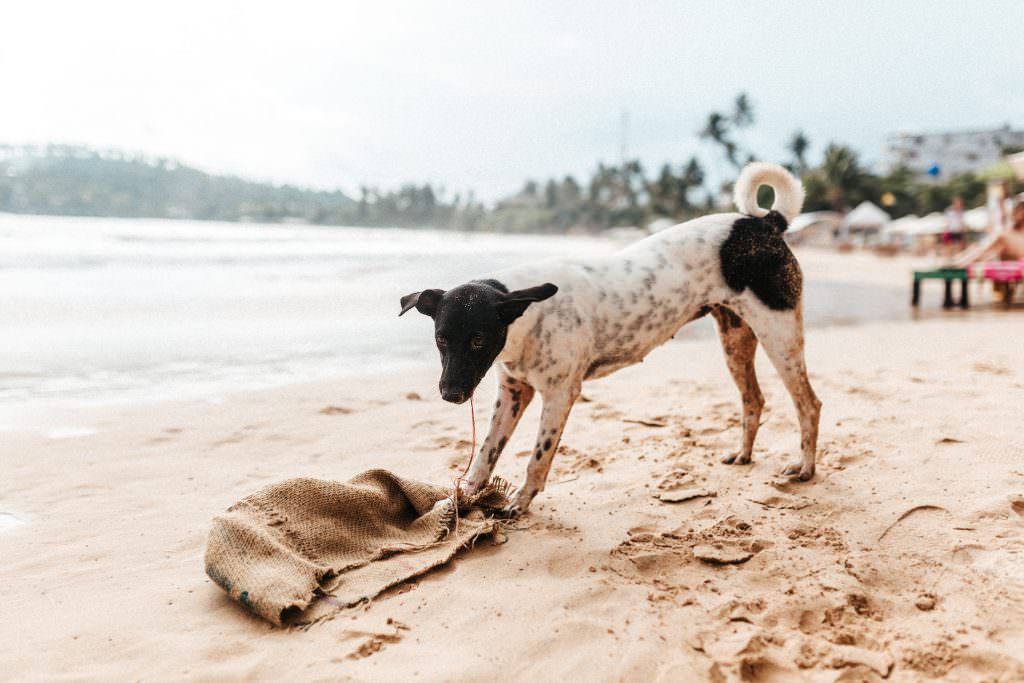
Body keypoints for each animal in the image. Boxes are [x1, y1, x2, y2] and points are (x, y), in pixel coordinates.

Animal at [401, 162, 823, 516]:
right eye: (441, 339)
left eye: (478, 340)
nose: (450, 394)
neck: (527, 317)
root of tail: (764, 224)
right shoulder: (513, 392)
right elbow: (486, 453)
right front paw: (462, 498)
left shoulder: (559, 395)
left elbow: (538, 458)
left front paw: (519, 502)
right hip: (735, 340)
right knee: (754, 400)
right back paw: (744, 455)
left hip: (779, 335)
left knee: (809, 404)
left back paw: (805, 467)